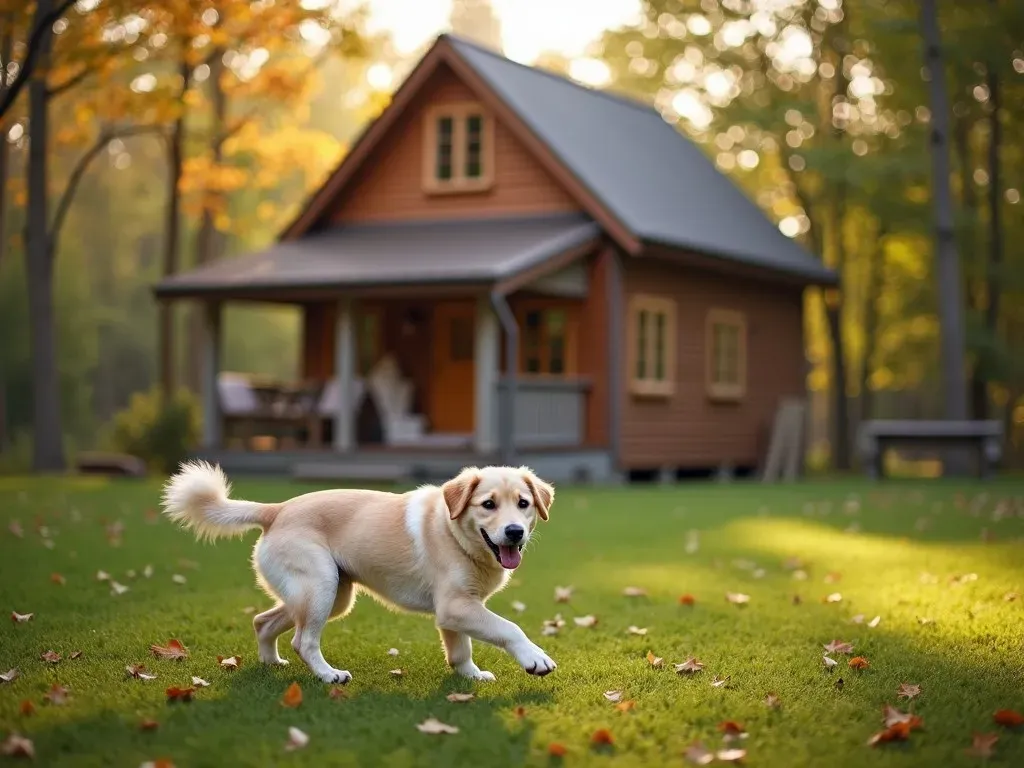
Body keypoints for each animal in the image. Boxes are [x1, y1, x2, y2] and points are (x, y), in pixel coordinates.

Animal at [160, 462, 557, 684]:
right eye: (488, 504)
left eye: (523, 503)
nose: (514, 532)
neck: (453, 531)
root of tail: (276, 509)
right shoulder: (457, 607)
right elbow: (510, 628)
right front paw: (535, 659)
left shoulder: (454, 612)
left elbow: (460, 651)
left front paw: (471, 677)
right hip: (321, 587)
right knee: (303, 641)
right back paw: (328, 675)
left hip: (327, 595)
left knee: (264, 622)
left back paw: (271, 663)